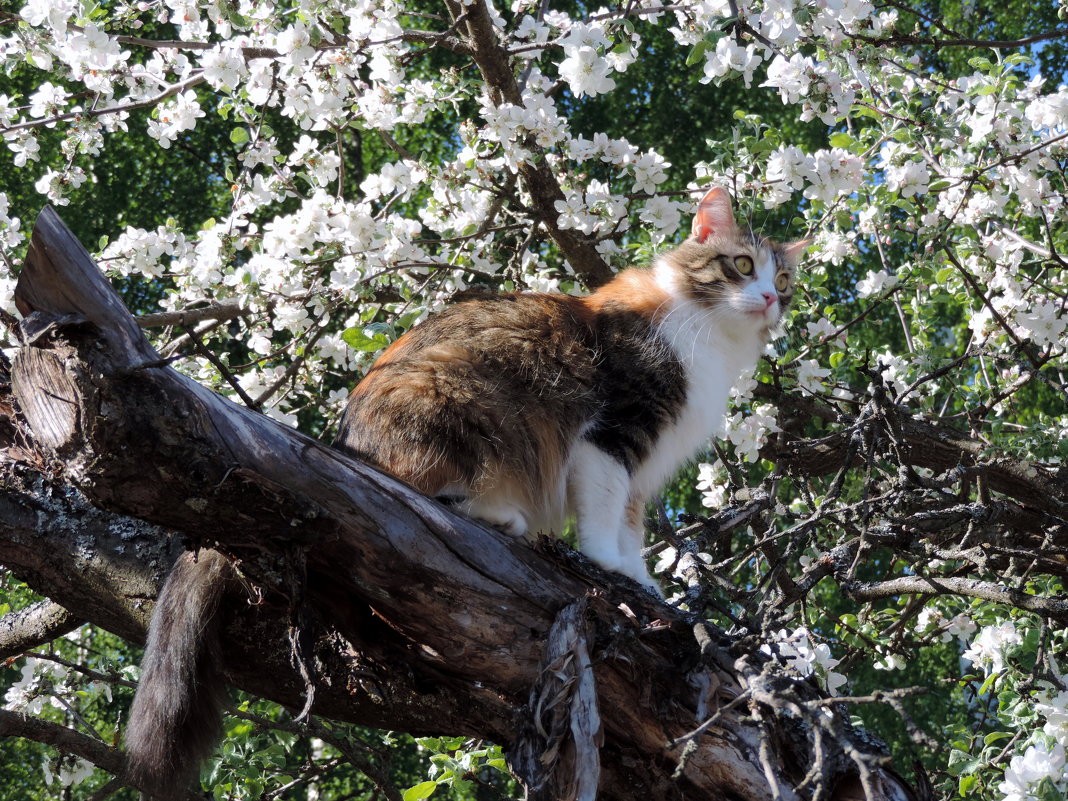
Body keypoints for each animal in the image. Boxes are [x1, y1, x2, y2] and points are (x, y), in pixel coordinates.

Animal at [337, 186, 803, 589]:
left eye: (782, 282)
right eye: (743, 265)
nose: (768, 298)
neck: (715, 337)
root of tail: (346, 440)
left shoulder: (644, 465)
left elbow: (630, 526)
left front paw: (640, 579)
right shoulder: (616, 430)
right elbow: (605, 509)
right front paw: (607, 563)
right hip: (455, 388)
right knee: (417, 485)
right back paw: (500, 515)